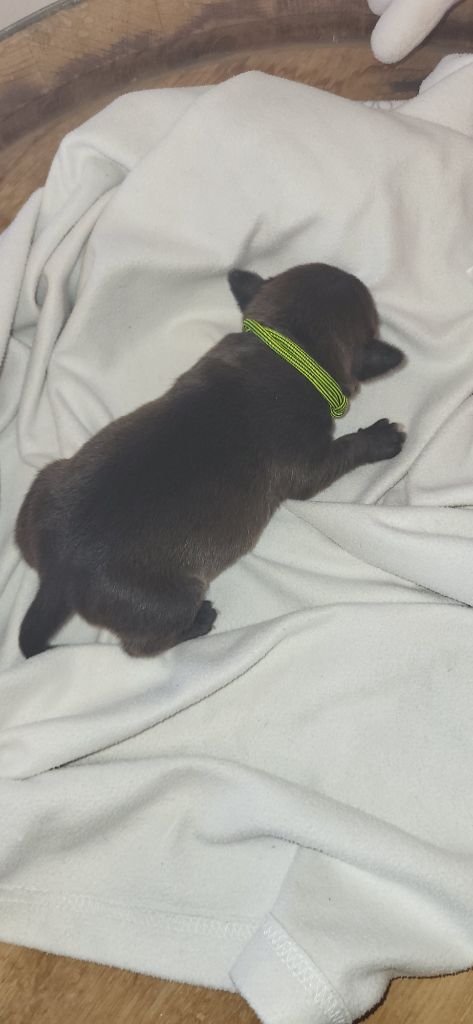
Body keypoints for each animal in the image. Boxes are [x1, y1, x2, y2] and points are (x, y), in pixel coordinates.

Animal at [16, 263, 406, 659]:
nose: (348, 271)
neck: (289, 351)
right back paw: (199, 622)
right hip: (171, 601)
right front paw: (378, 438)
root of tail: (58, 574)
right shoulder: (308, 465)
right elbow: (344, 451)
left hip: (44, 483)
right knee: (143, 646)